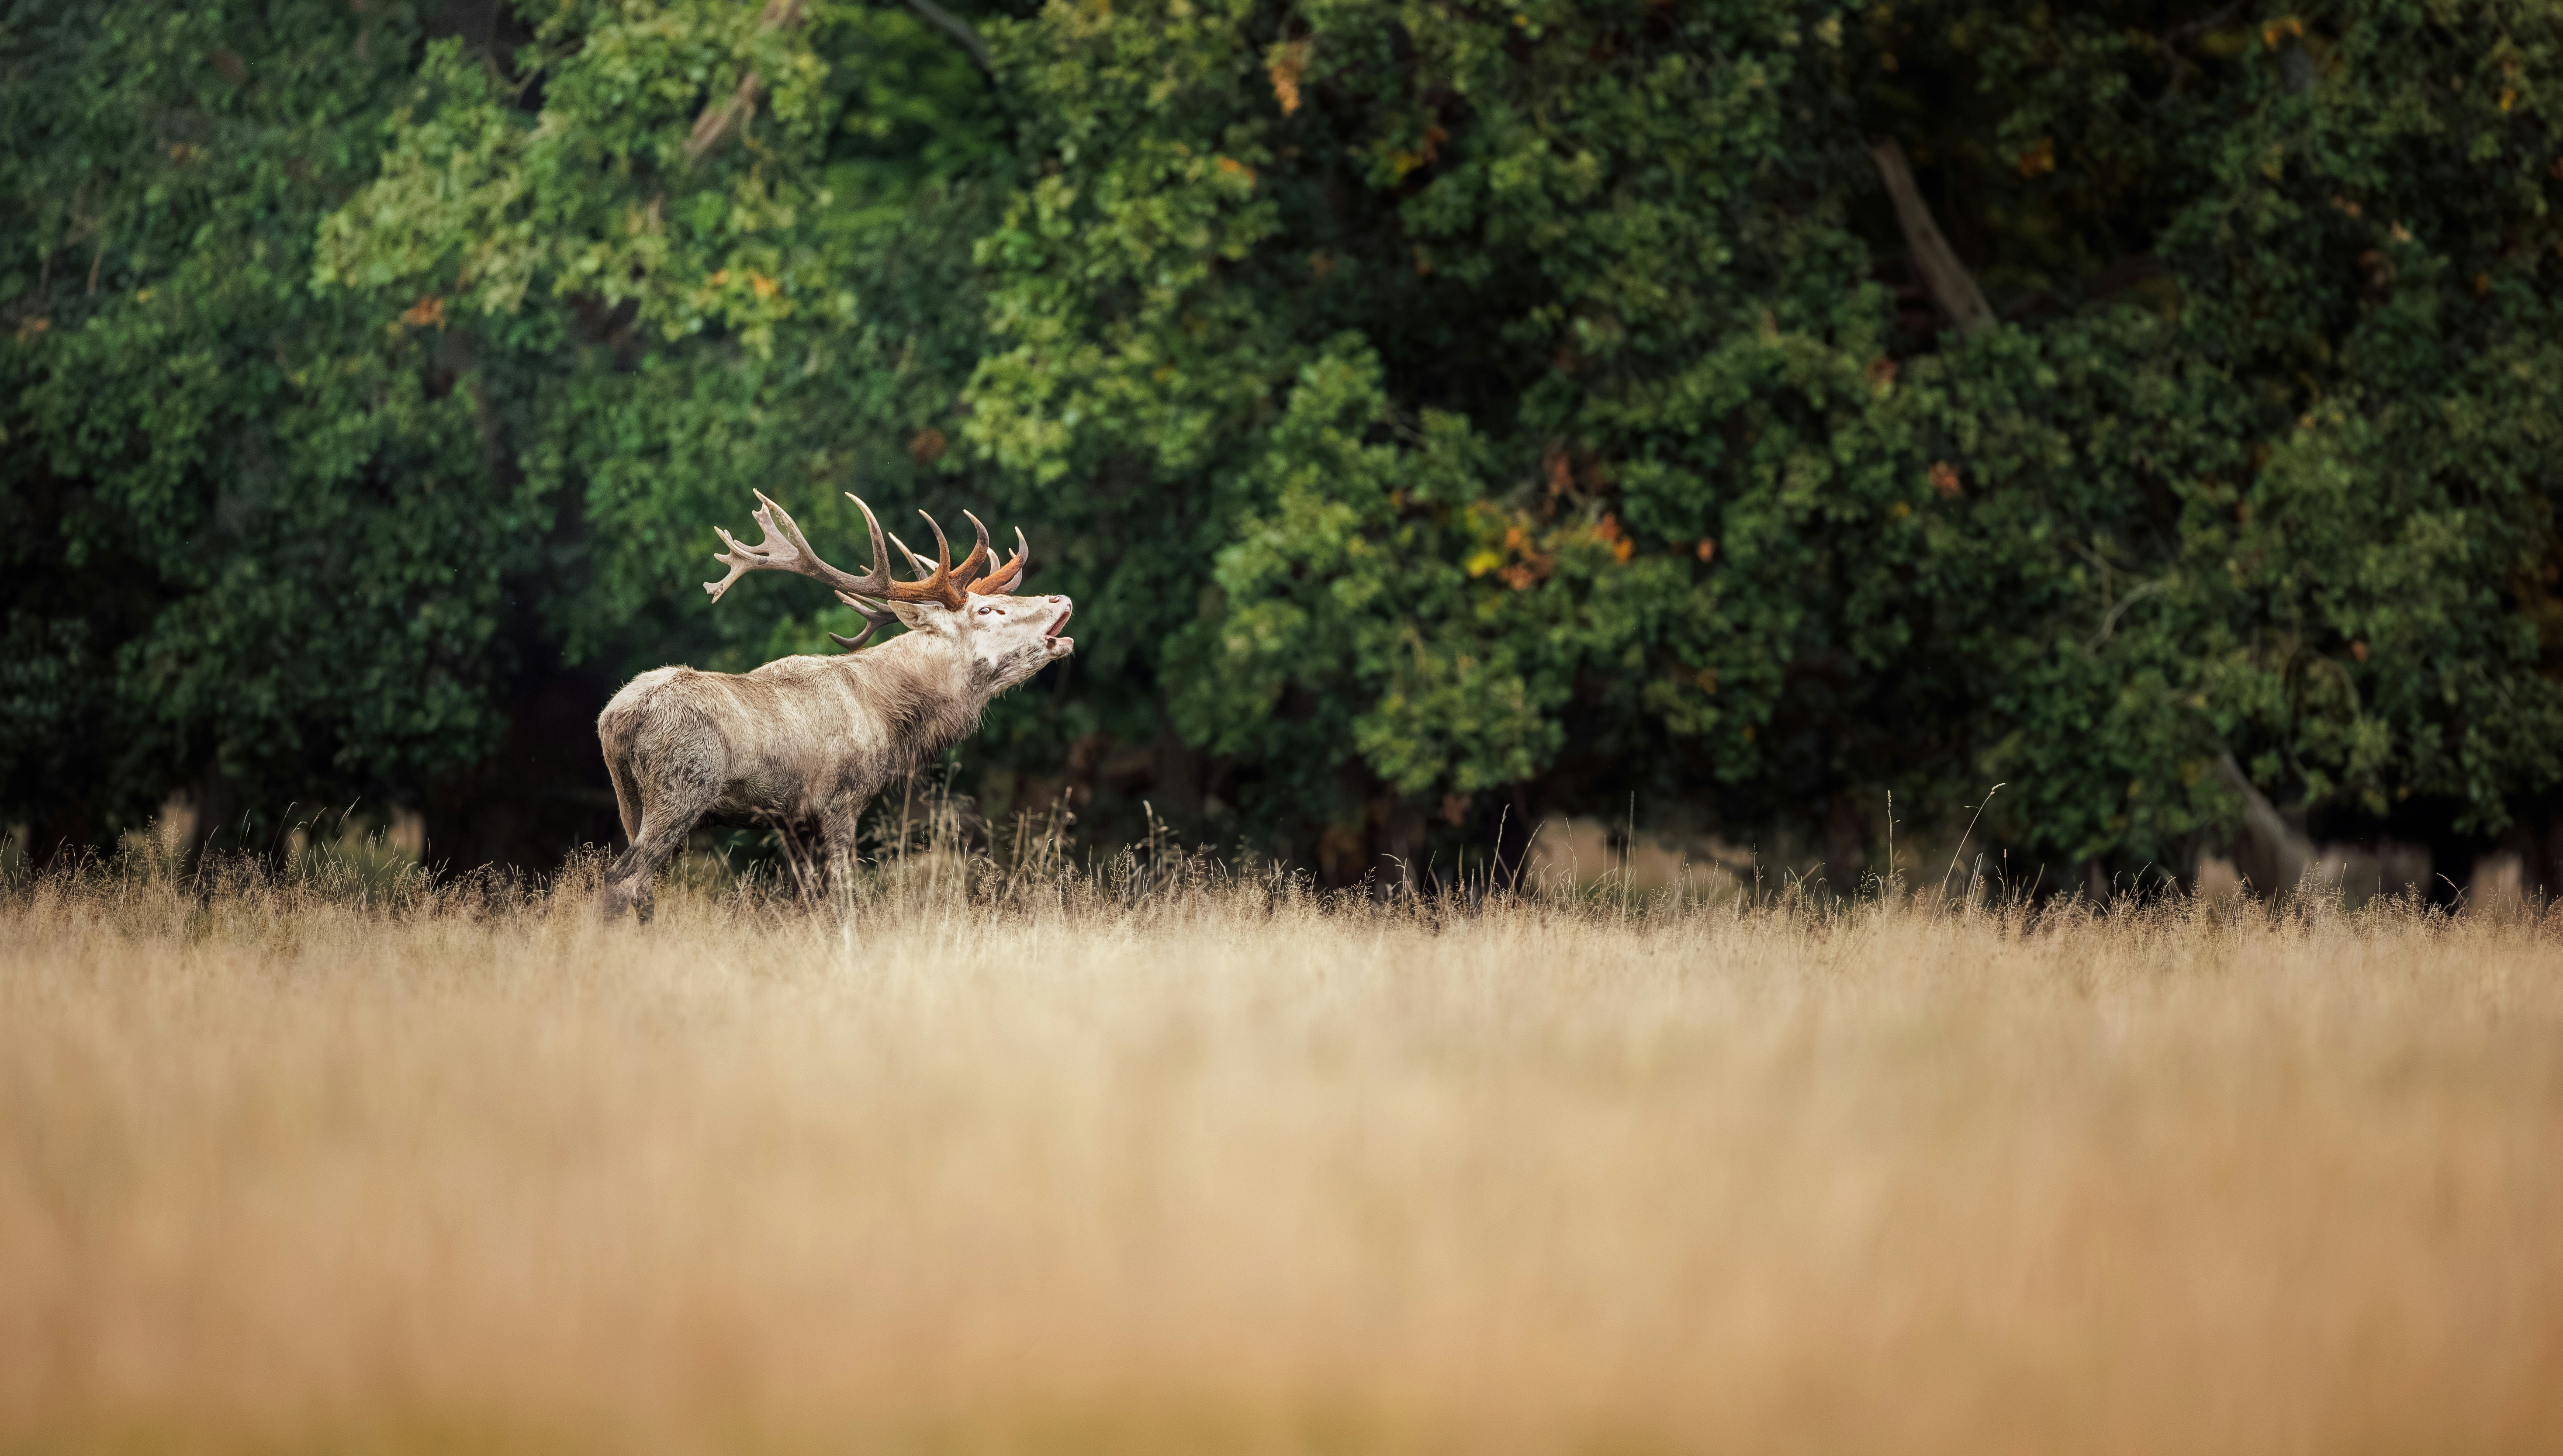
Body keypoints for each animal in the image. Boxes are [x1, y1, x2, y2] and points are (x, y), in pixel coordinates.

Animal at [595, 491, 1073, 919]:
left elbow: (807, 900)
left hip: (627, 798)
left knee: (639, 885)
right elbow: (843, 897)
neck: (887, 719)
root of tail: (616, 718)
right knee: (624, 878)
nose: (1061, 599)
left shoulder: (790, 820)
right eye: (986, 611)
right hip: (681, 787)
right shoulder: (839, 800)